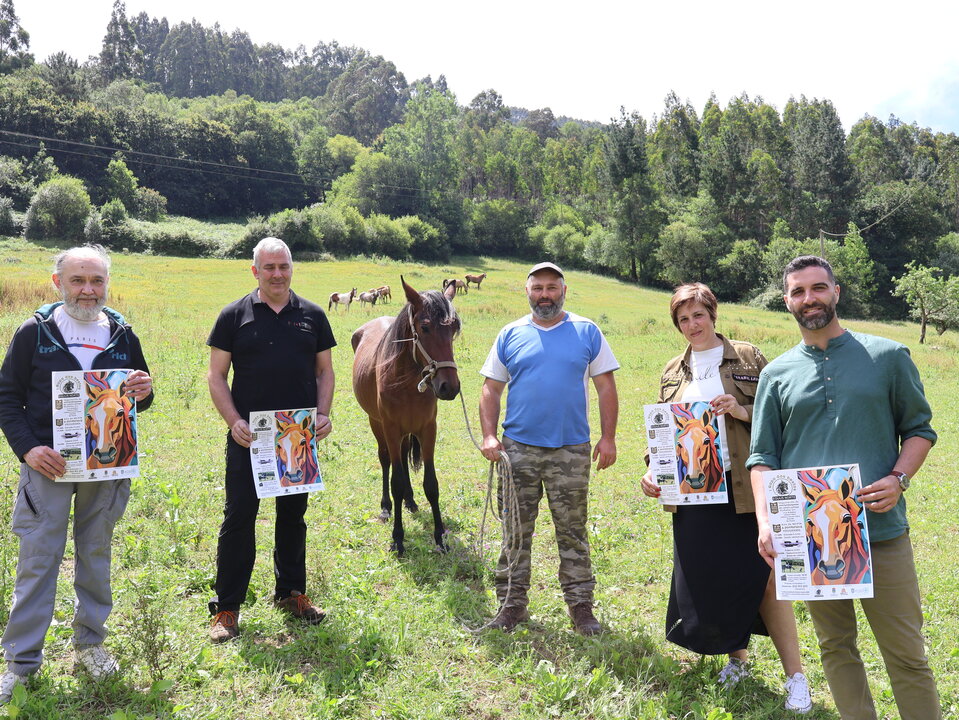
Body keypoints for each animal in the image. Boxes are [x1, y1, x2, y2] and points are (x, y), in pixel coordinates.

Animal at [352, 278, 462, 556]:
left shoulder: (427, 429)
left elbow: (431, 484)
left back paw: (410, 501)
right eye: (424, 327)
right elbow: (396, 482)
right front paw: (398, 538)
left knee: (401, 458)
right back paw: (385, 507)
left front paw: (439, 537)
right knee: (386, 461)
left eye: (454, 328)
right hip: (377, 425)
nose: (449, 386)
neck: (406, 383)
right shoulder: (391, 429)